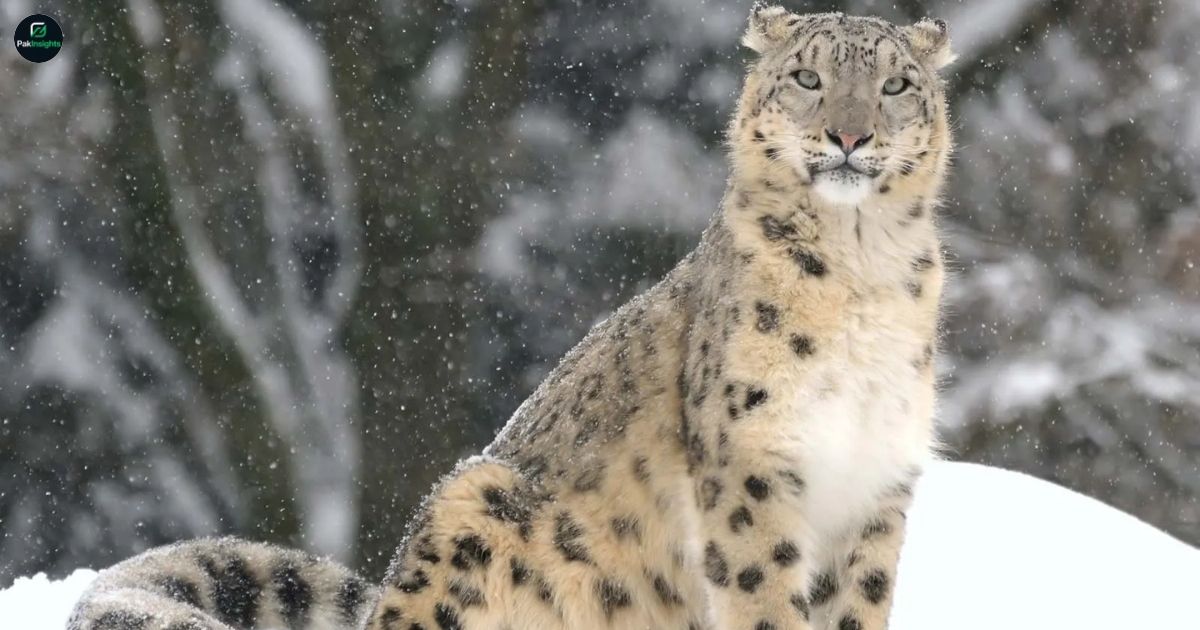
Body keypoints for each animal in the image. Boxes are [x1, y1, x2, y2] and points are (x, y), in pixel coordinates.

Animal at [68, 5, 955, 630]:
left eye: (896, 85)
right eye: (806, 78)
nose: (850, 133)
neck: (861, 270)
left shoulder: (876, 482)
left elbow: (856, 603)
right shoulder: (752, 463)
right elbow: (763, 592)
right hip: (475, 503)